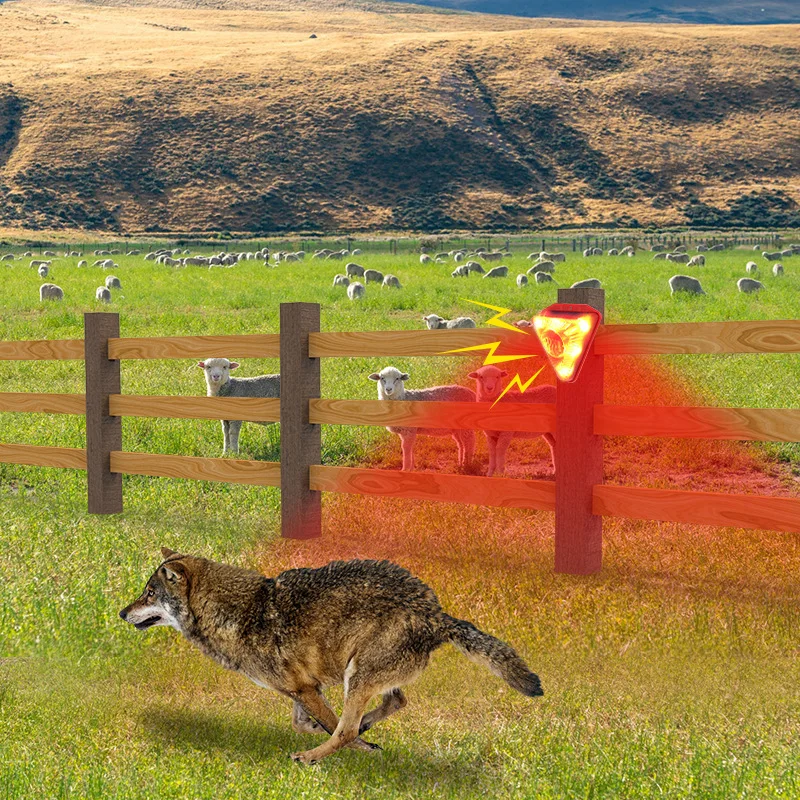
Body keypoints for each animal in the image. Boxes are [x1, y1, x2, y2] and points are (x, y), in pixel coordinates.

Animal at [120, 552, 544, 764]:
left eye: (149, 593)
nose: (122, 613)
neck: (236, 611)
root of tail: (437, 614)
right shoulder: (304, 688)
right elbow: (304, 722)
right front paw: (338, 733)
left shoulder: (303, 688)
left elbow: (332, 728)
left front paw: (360, 748)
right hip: (360, 674)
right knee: (395, 701)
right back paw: (365, 727)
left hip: (356, 674)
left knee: (349, 728)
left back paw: (312, 757)